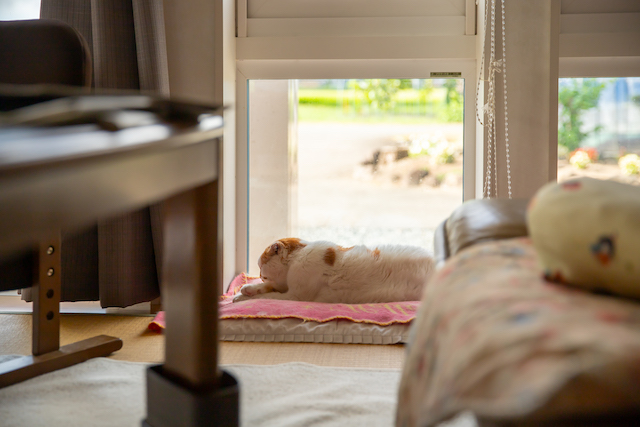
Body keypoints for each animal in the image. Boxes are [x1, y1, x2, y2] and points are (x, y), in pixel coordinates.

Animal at [231, 237, 436, 304]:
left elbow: (268, 296)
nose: (259, 275)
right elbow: (268, 289)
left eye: (260, 267)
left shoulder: (295, 295)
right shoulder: (285, 287)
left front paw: (243, 297)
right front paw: (245, 290)